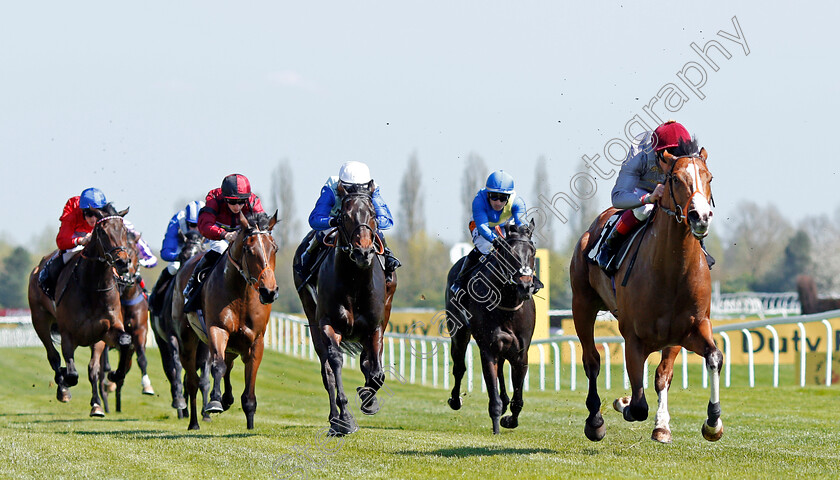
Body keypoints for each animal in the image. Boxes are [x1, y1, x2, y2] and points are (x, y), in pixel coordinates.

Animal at [26, 204, 136, 418]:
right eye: (102, 232)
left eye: (124, 230)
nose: (122, 262)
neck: (93, 286)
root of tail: (37, 269)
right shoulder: (68, 334)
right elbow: (71, 372)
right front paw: (65, 381)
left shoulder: (105, 332)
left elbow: (114, 351)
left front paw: (105, 391)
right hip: (40, 321)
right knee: (53, 356)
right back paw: (62, 389)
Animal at [174, 212, 278, 430]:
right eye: (248, 249)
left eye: (274, 248)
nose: (269, 291)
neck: (241, 293)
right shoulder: (217, 329)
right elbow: (218, 366)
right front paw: (215, 401)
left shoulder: (256, 340)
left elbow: (249, 382)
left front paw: (250, 424)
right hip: (187, 341)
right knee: (193, 381)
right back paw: (194, 422)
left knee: (228, 364)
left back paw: (228, 399)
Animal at [294, 182, 398, 436]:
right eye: (345, 216)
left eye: (373, 214)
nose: (363, 253)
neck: (354, 281)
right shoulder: (328, 324)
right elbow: (335, 363)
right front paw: (346, 419)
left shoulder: (375, 326)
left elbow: (376, 371)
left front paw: (369, 399)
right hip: (312, 317)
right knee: (327, 370)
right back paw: (335, 420)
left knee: (369, 361)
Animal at [442, 221, 540, 436]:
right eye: (509, 252)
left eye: (533, 251)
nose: (525, 286)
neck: (508, 303)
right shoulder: (487, 349)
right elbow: (492, 394)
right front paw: (496, 426)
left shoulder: (521, 352)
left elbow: (518, 399)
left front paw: (509, 419)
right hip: (458, 332)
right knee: (459, 367)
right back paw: (455, 400)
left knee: (501, 369)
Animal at [568, 141, 724, 444]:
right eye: (675, 179)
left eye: (709, 178)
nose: (700, 216)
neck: (671, 273)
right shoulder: (634, 338)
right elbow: (639, 404)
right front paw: (625, 404)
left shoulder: (687, 330)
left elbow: (704, 360)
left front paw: (709, 423)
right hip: (582, 305)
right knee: (592, 361)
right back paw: (595, 421)